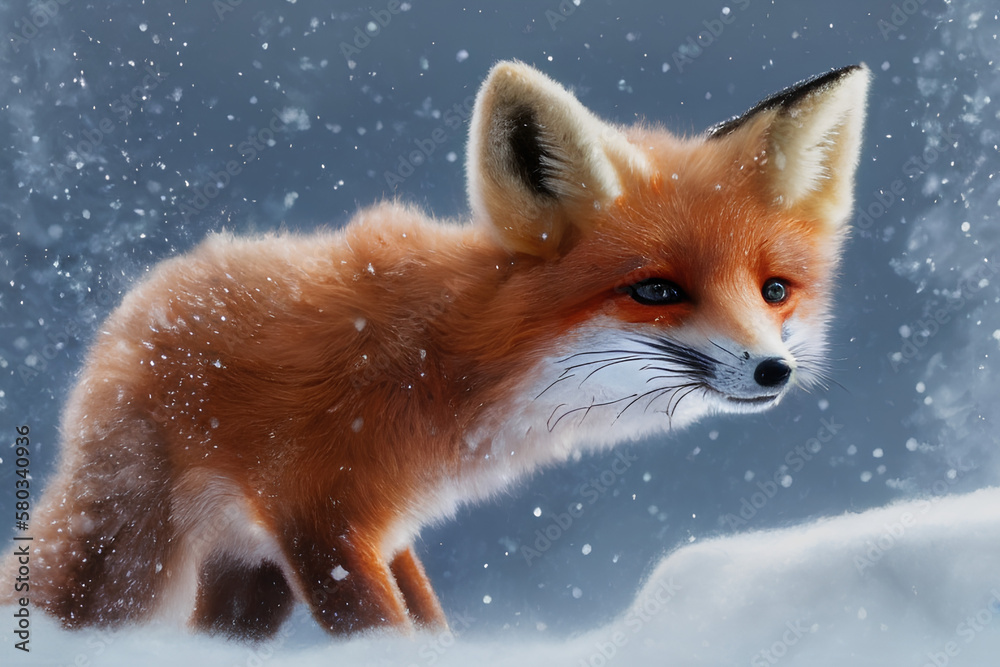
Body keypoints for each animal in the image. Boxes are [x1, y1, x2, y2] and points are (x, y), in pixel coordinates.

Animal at [4, 60, 869, 640]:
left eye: (775, 289)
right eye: (656, 290)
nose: (773, 368)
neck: (447, 363)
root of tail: (145, 296)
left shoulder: (386, 532)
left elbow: (428, 627)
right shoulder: (321, 516)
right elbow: (381, 630)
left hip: (248, 571)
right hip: (128, 555)